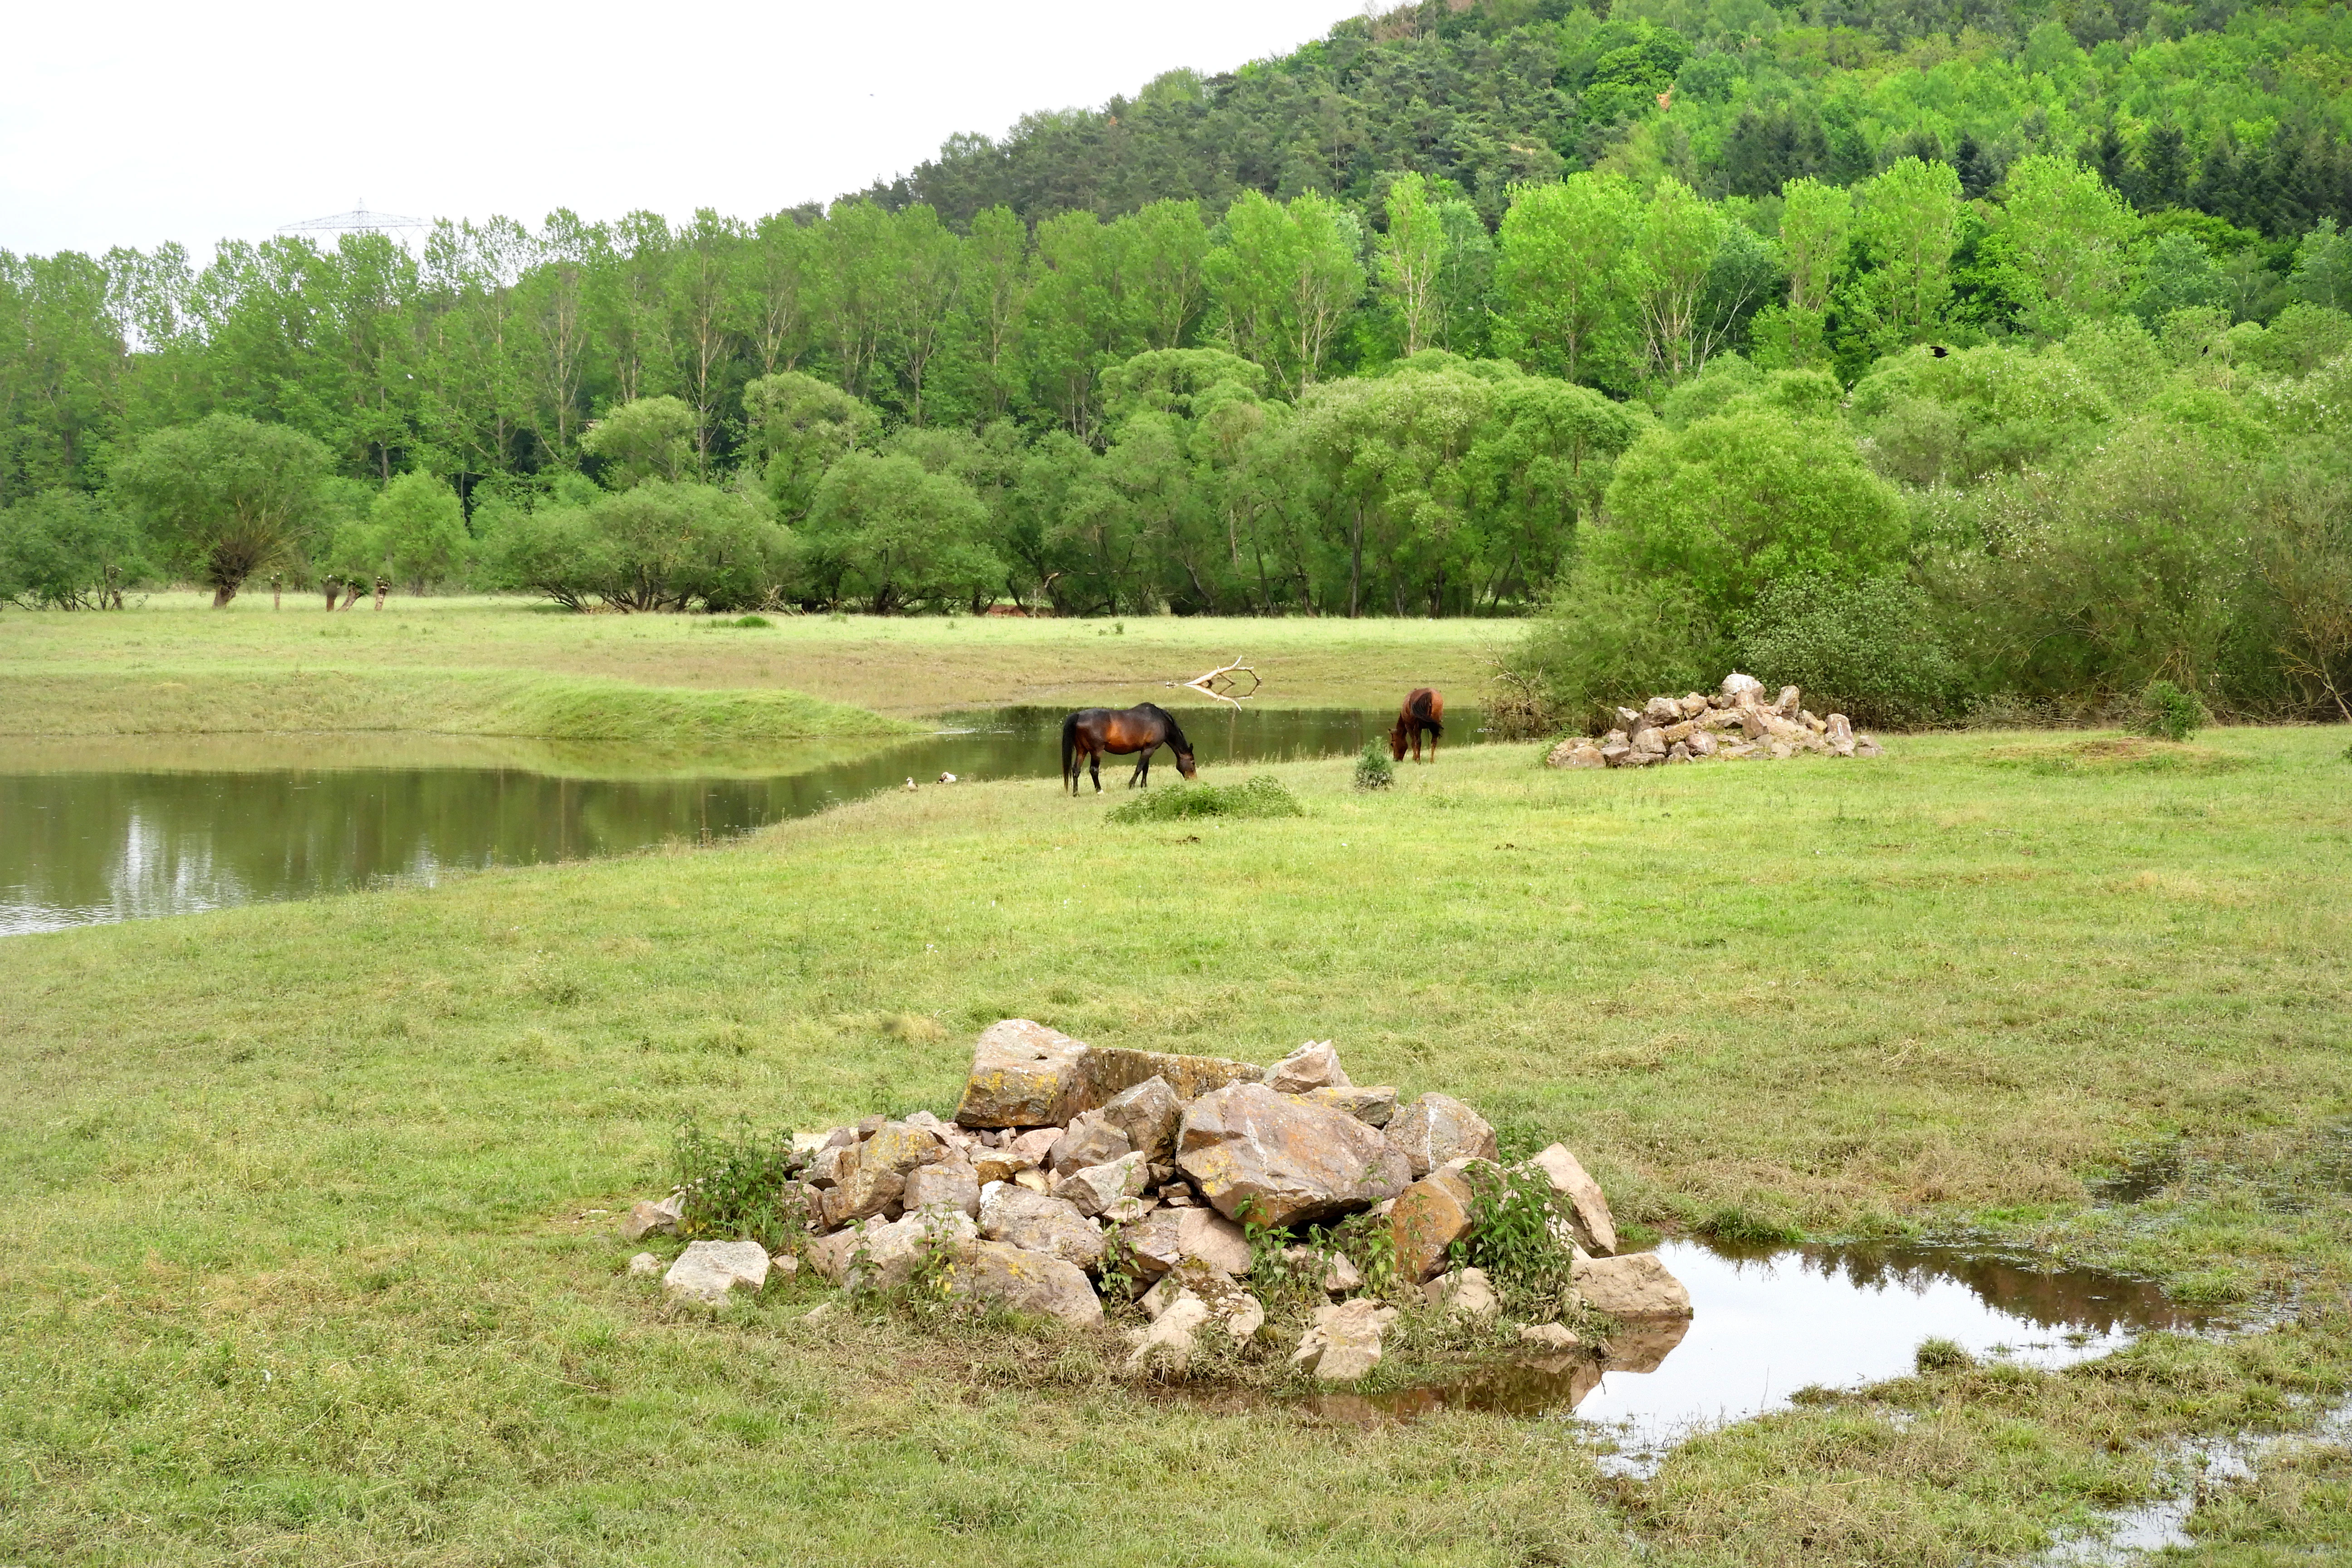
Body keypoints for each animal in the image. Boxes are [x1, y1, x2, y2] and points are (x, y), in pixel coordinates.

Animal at [1061, 703, 1198, 794]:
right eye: (1192, 762)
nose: (1194, 780)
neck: (1161, 721)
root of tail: (1079, 715)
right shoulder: (1150, 749)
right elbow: (1139, 768)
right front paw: (1131, 785)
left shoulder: (1146, 749)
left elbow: (1145, 769)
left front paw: (1144, 785)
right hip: (1097, 752)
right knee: (1094, 770)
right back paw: (1100, 791)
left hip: (1082, 751)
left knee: (1076, 770)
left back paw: (1076, 793)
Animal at [1390, 688, 1445, 762]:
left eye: (1392, 744)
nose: (1396, 760)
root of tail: (1429, 694)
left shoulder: (1409, 727)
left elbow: (1413, 743)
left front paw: (1414, 758)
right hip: (1434, 726)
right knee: (1434, 742)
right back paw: (1431, 761)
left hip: (1417, 726)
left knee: (1418, 742)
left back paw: (1418, 761)